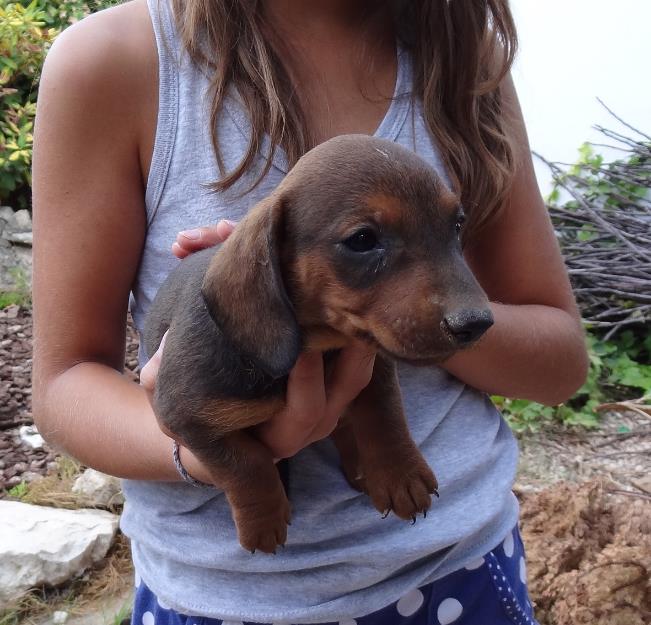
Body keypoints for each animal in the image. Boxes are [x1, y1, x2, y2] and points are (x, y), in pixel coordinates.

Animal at [144, 134, 494, 552]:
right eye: (362, 240)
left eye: (456, 225)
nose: (477, 323)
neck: (315, 347)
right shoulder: (184, 416)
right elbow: (244, 463)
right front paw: (263, 520)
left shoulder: (374, 363)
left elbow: (384, 412)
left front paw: (399, 473)